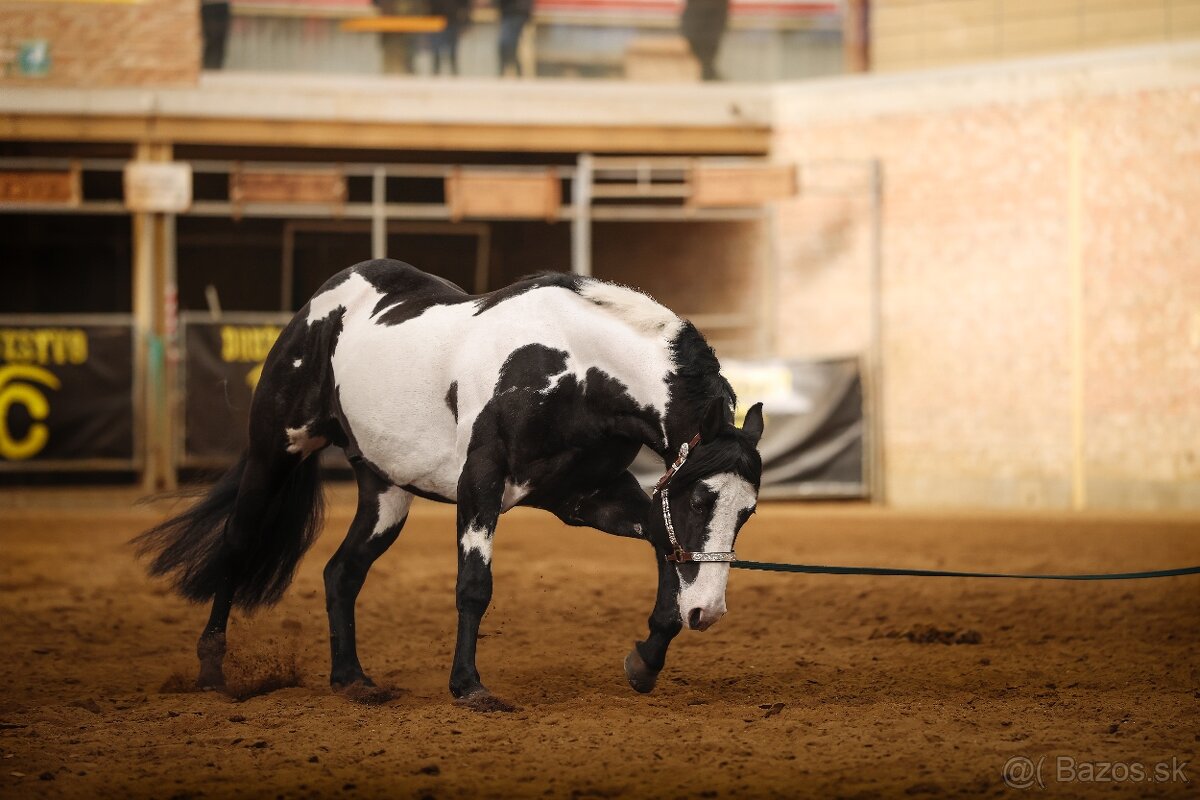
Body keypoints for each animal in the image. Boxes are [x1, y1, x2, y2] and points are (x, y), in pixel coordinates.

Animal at [136, 259, 764, 709]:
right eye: (702, 497)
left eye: (748, 512)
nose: (710, 613)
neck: (574, 368)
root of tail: (325, 302)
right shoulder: (480, 483)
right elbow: (474, 586)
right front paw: (469, 687)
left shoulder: (587, 497)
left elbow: (663, 544)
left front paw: (645, 660)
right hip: (274, 454)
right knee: (238, 546)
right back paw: (212, 671)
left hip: (385, 492)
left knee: (341, 573)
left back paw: (352, 679)